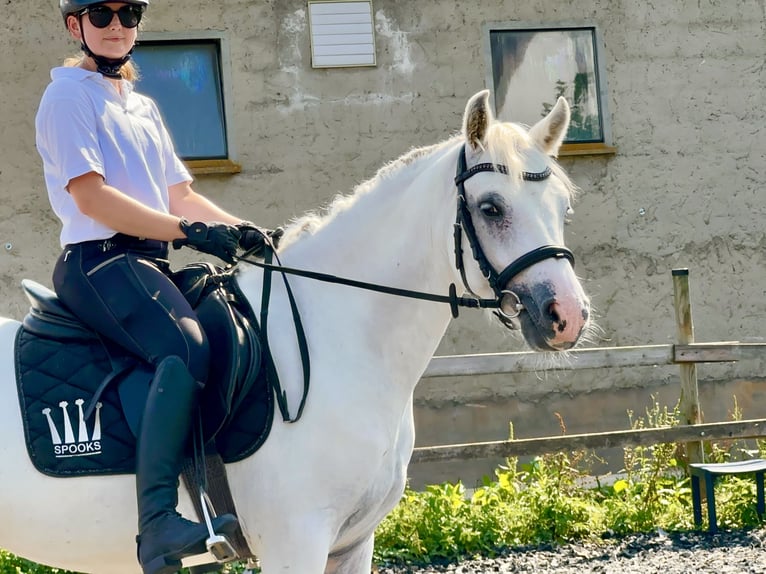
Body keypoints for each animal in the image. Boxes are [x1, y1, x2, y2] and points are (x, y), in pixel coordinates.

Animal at [0, 92, 592, 572]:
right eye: (491, 207)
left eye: (564, 207)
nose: (566, 315)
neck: (343, 340)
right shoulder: (297, 541)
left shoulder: (351, 544)